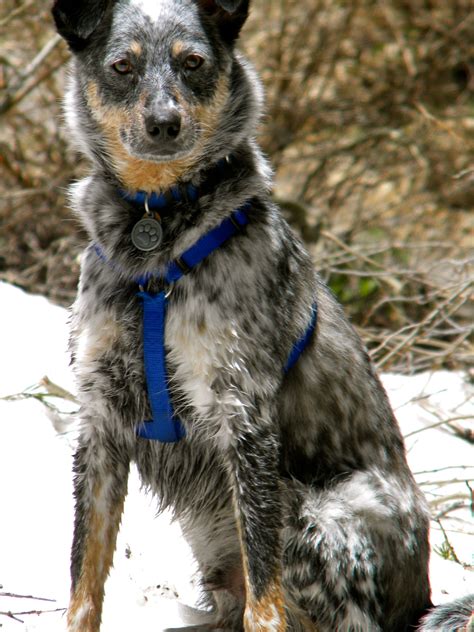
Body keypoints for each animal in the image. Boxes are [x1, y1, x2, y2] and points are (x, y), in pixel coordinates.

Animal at [51, 0, 474, 628]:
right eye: (122, 66)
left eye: (193, 62)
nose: (164, 123)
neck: (156, 233)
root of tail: (419, 601)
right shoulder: (100, 420)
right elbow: (84, 579)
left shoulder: (243, 417)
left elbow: (265, 599)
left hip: (318, 516)